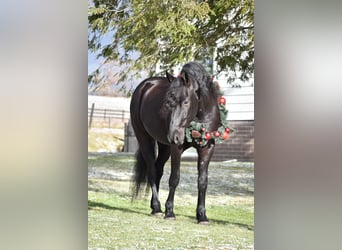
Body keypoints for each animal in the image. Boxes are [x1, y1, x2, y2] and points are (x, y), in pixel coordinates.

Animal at [130, 61, 220, 224]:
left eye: (185, 102)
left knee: (158, 170)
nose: (173, 136)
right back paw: (157, 208)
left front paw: (202, 216)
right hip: (146, 139)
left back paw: (154, 207)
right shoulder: (176, 148)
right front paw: (170, 212)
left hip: (164, 147)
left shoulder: (207, 148)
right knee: (152, 171)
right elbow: (174, 178)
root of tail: (144, 85)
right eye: (168, 103)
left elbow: (202, 181)